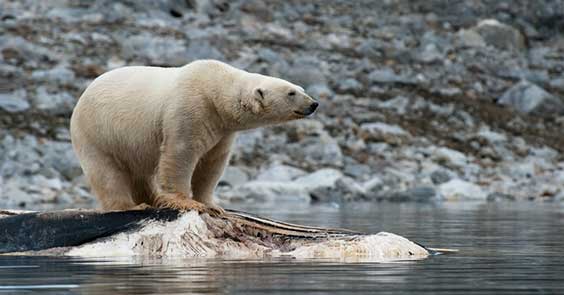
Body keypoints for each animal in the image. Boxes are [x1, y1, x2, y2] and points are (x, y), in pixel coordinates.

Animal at [70, 59, 318, 215]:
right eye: (291, 93)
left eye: (301, 88)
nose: (314, 104)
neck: (216, 89)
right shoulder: (190, 109)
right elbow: (181, 153)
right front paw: (187, 203)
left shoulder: (222, 129)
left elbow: (212, 162)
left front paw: (213, 204)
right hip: (98, 133)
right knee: (107, 173)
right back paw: (132, 206)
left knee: (141, 174)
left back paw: (152, 199)